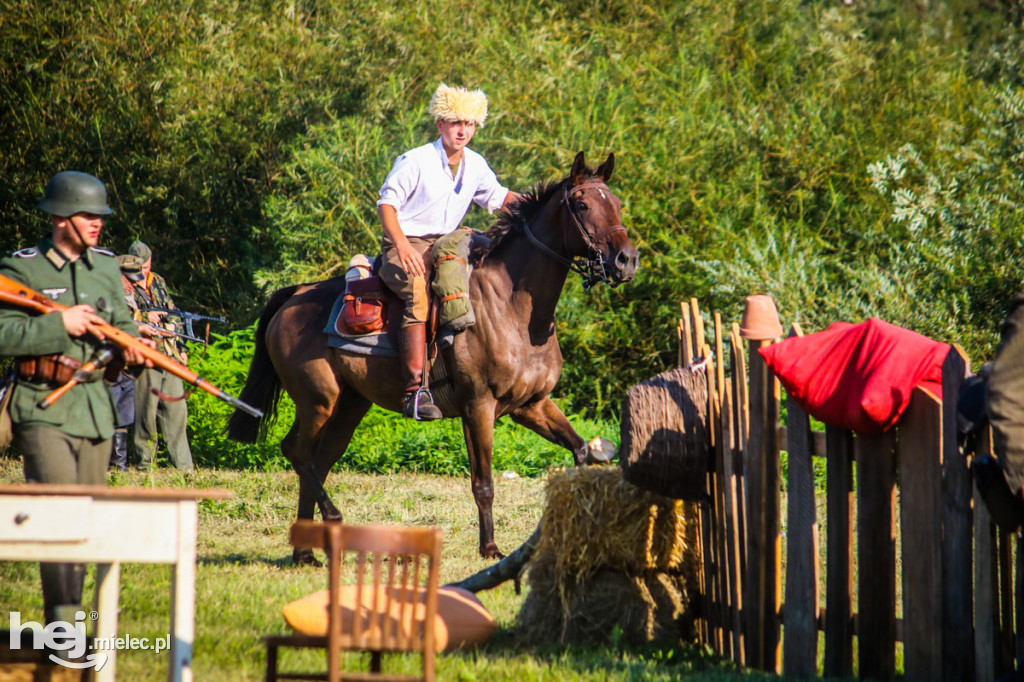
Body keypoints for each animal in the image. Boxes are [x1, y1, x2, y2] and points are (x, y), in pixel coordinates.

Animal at [228, 151, 634, 561]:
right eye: (582, 204)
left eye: (617, 204)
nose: (626, 260)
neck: (510, 307)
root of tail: (294, 296)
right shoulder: (478, 407)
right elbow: (483, 483)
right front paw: (490, 548)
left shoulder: (530, 405)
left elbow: (580, 450)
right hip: (318, 401)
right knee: (297, 452)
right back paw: (331, 522)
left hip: (350, 405)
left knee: (317, 461)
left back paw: (307, 551)